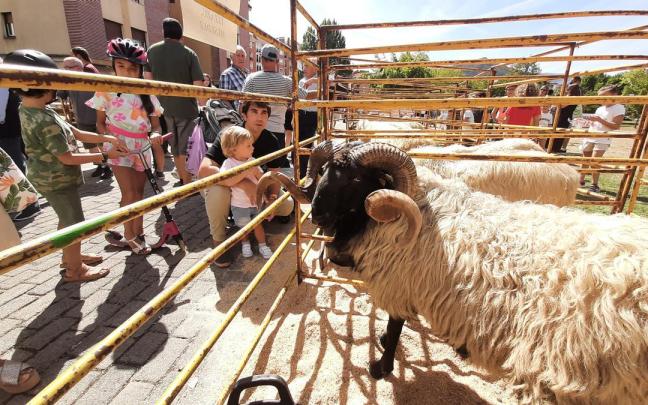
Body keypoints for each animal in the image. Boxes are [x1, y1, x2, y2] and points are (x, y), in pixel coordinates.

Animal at [257, 141, 648, 404]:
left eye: (355, 180)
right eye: (323, 171)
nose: (317, 214)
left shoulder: (400, 283)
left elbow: (396, 326)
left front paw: (381, 365)